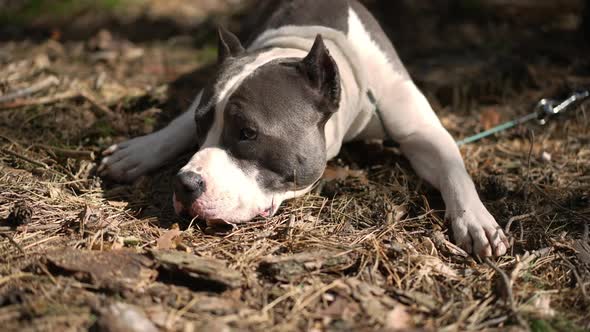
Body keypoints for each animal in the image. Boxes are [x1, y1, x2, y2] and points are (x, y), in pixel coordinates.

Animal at [99, 0, 512, 256]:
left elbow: (453, 167)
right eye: (203, 126)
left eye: (247, 133)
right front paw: (140, 150)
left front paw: (475, 219)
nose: (184, 184)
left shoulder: (421, 129)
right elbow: (178, 124)